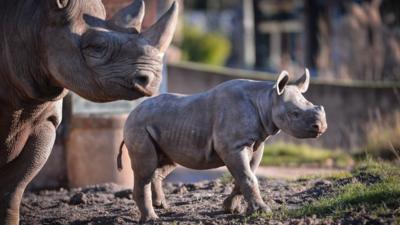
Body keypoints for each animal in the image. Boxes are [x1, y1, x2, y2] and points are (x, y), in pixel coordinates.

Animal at [117, 69, 326, 221]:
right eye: (294, 114)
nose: (322, 126)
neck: (266, 99)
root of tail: (131, 115)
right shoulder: (233, 146)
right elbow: (248, 177)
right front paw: (263, 212)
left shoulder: (256, 142)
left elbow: (246, 175)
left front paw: (230, 208)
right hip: (138, 126)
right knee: (145, 169)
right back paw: (152, 219)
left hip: (161, 126)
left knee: (165, 163)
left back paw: (162, 206)